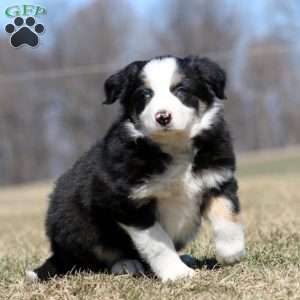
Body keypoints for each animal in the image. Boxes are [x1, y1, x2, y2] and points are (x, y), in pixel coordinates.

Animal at [25, 55, 245, 282]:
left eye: (181, 90)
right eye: (145, 94)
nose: (163, 117)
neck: (173, 146)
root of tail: (57, 252)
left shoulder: (218, 178)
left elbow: (228, 215)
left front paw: (231, 253)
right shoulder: (126, 202)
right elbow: (158, 243)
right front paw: (177, 273)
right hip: (74, 223)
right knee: (93, 258)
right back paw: (126, 264)